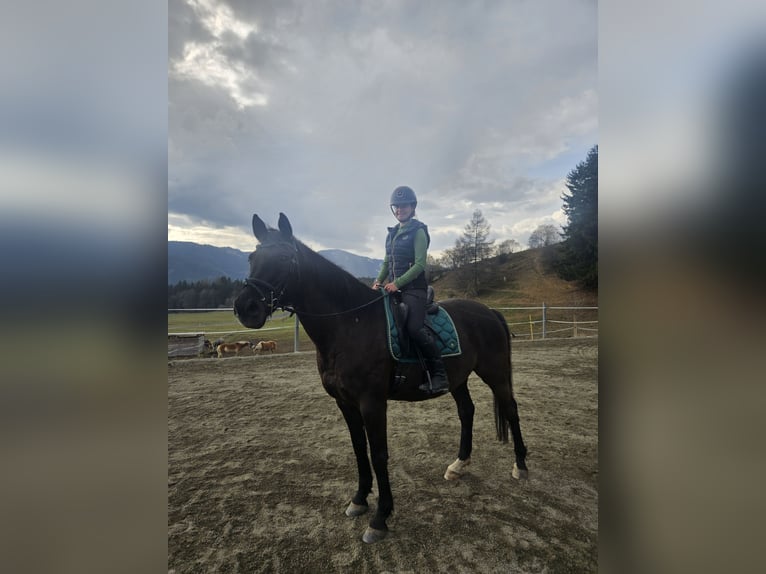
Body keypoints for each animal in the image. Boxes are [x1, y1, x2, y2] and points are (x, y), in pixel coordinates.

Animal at [233, 213, 528, 544]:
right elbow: (359, 450)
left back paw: (520, 466)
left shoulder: (372, 403)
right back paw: (459, 464)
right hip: (457, 378)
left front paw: (380, 517)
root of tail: (489, 311)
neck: (350, 324)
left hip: (495, 373)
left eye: (284, 258)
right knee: (467, 411)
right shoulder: (345, 403)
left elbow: (379, 454)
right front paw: (359, 500)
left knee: (511, 409)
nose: (245, 308)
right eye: (252, 258)